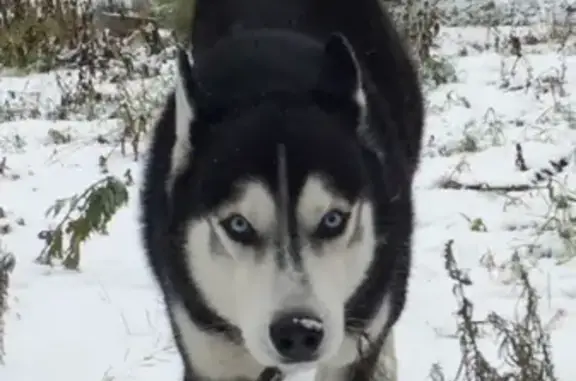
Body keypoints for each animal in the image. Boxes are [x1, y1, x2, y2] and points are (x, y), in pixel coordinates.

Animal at [141, 0, 424, 380]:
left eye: (333, 220)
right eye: (238, 225)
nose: (299, 331)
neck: (268, 85)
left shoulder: (352, 348)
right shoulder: (209, 354)